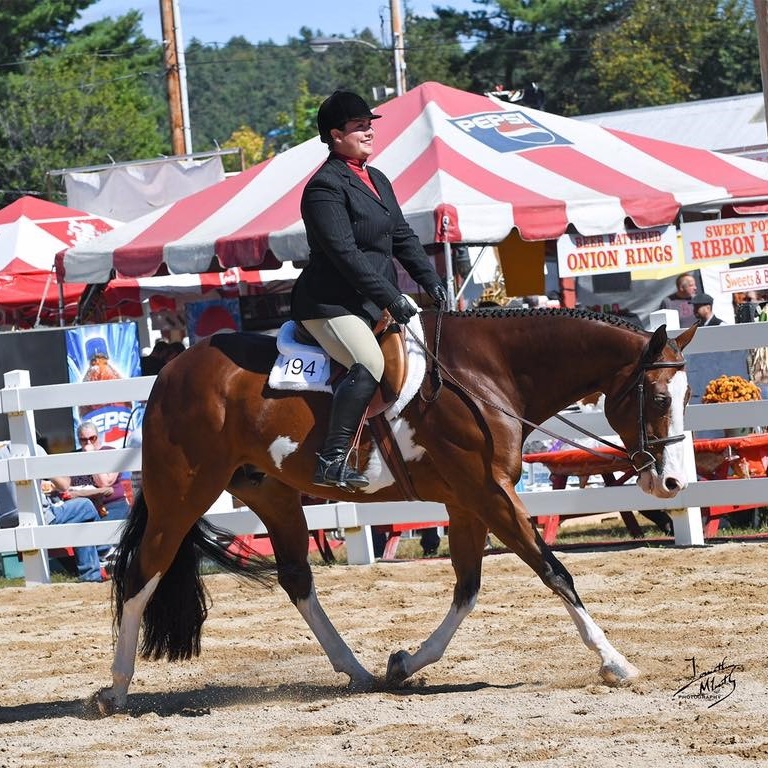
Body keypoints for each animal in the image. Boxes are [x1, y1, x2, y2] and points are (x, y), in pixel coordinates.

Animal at [94, 306, 696, 712]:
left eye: (687, 398)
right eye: (659, 398)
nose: (671, 482)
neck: (488, 373)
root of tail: (171, 371)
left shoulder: (468, 500)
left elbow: (468, 588)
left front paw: (404, 664)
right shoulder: (490, 492)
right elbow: (554, 571)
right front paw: (615, 662)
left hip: (272, 493)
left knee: (296, 579)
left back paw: (356, 670)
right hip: (183, 493)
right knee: (142, 573)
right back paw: (116, 689)